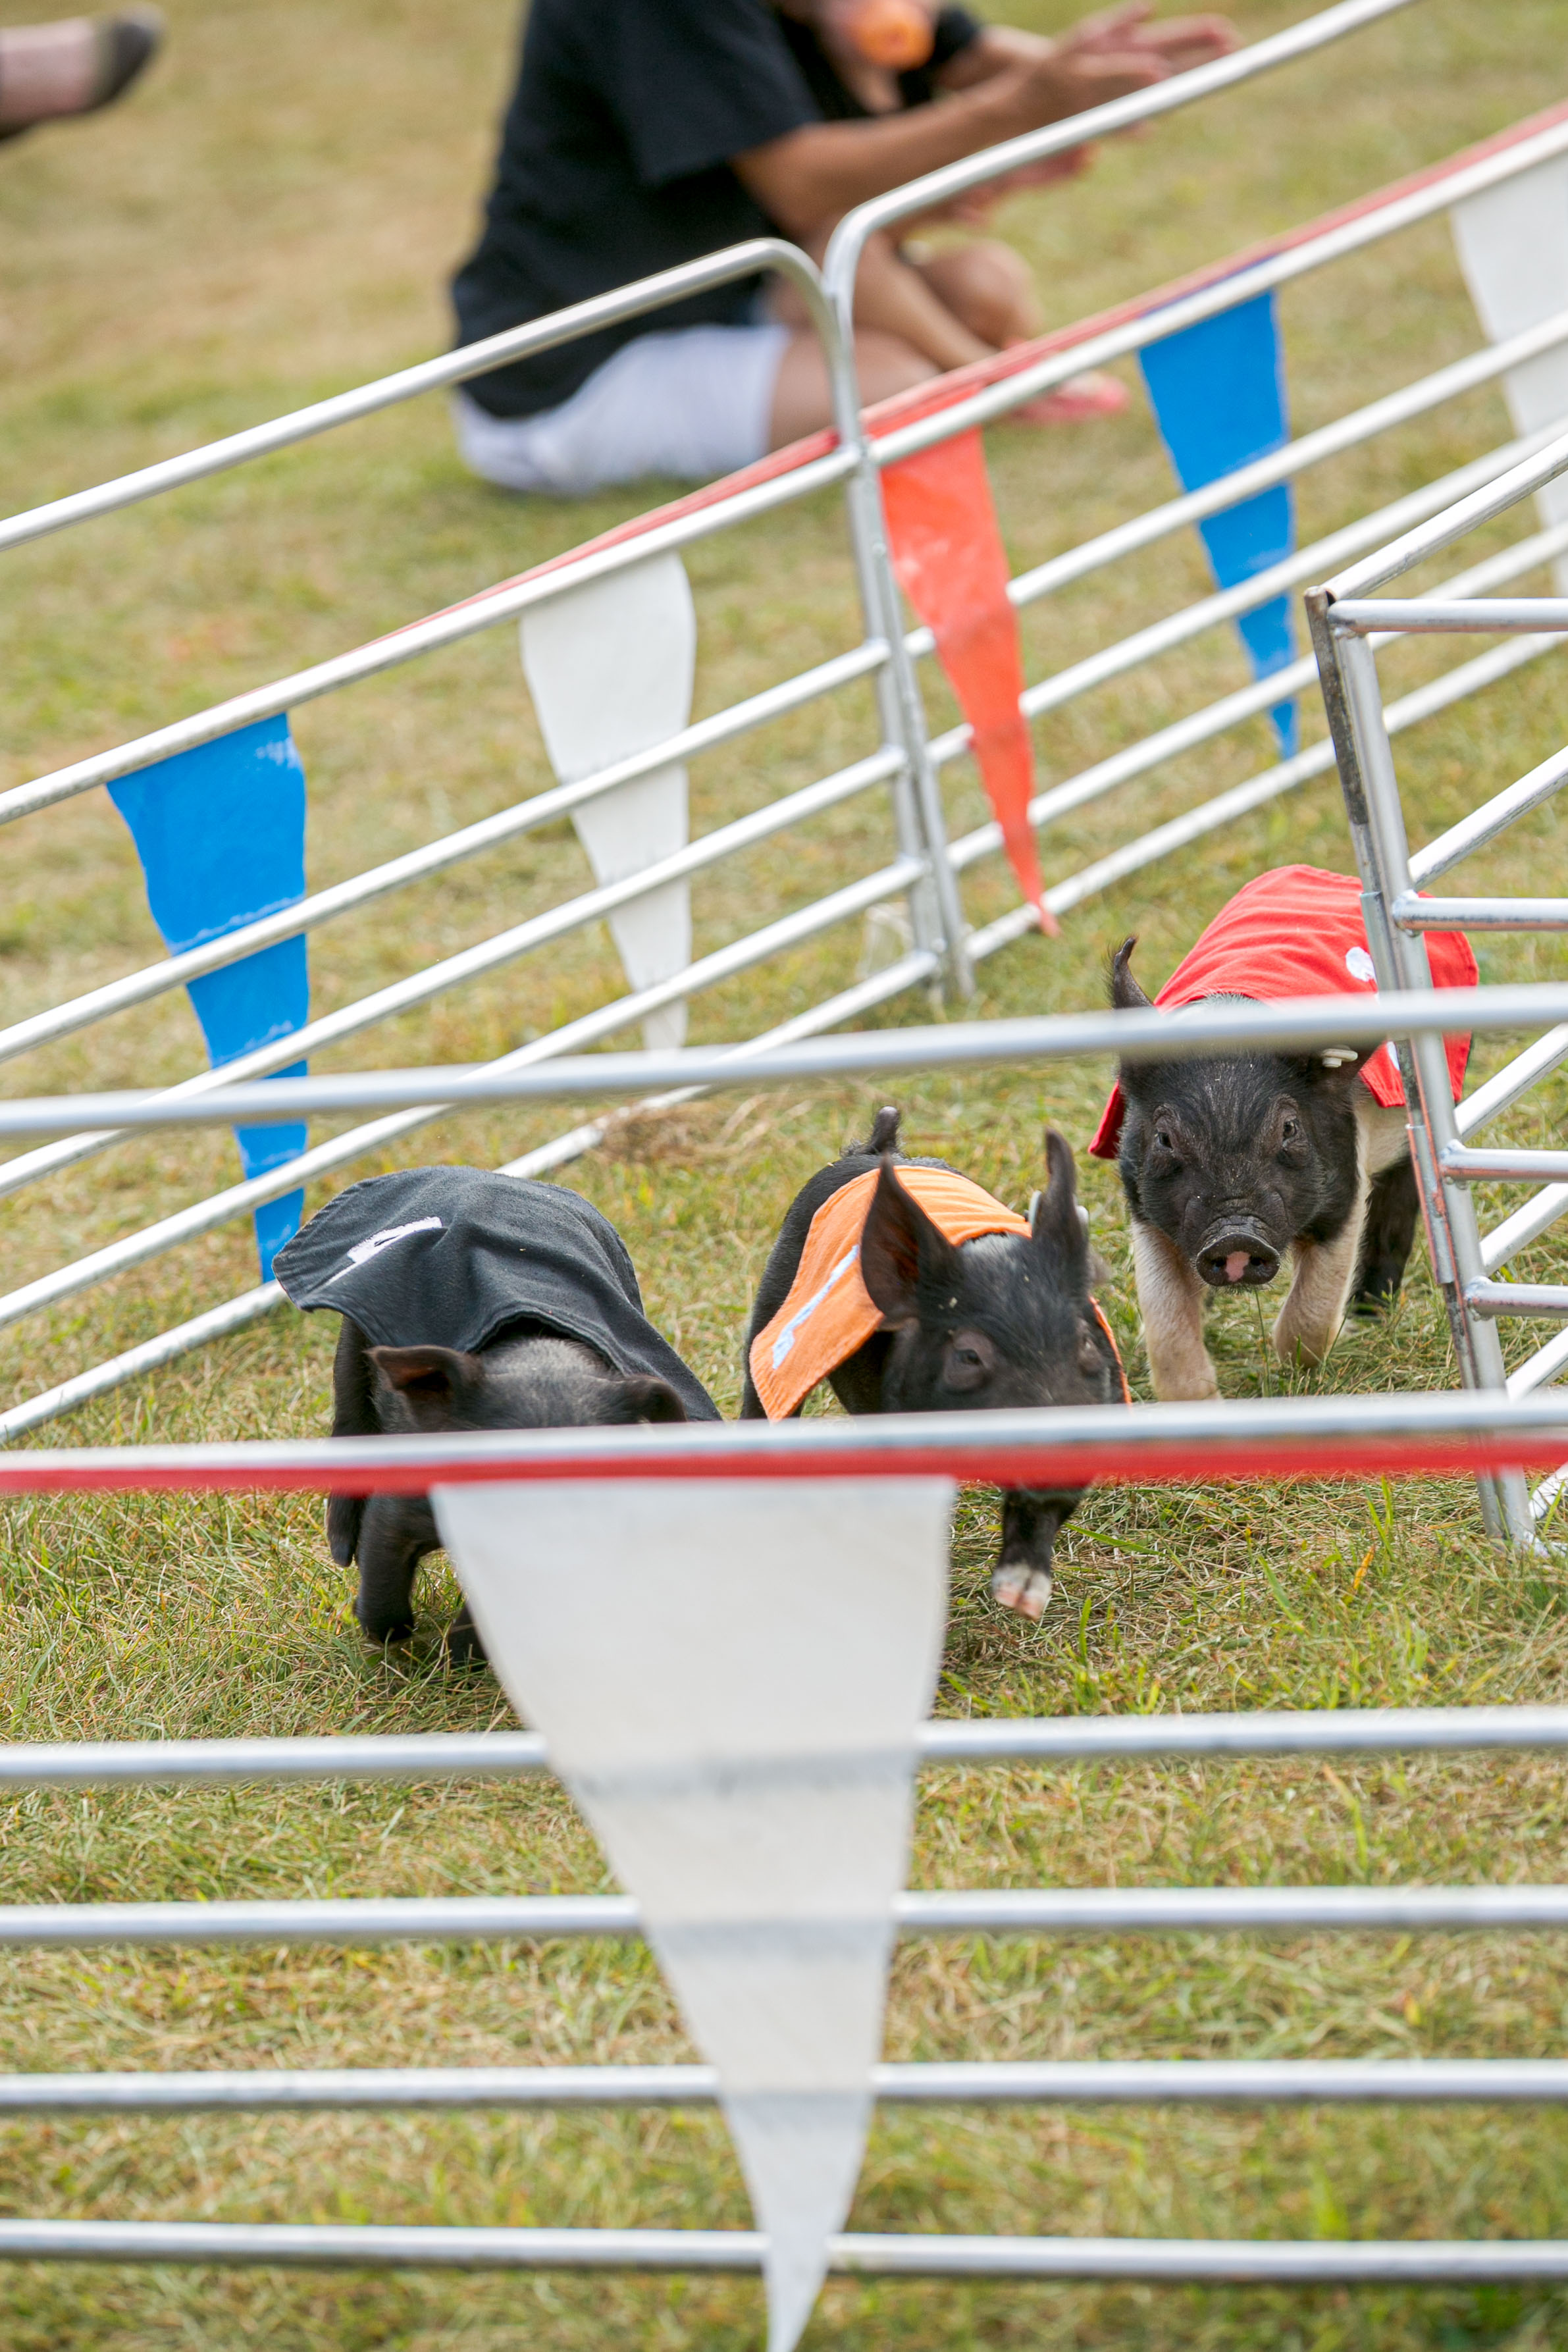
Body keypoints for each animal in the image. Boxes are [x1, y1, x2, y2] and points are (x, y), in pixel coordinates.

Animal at [273, 1165, 718, 1658]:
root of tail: (480, 1175)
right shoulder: (404, 1501)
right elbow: (382, 1569)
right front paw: (392, 1641)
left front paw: (459, 1656)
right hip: (354, 1344)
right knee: (349, 1418)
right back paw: (341, 1547)